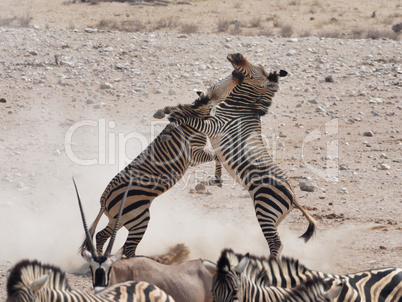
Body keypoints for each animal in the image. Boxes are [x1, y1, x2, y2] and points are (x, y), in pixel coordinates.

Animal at [160, 52, 318, 258]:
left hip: (265, 208)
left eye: (255, 71)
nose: (236, 54)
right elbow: (197, 109)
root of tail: (293, 196)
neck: (239, 108)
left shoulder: (215, 126)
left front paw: (172, 118)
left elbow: (192, 118)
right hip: (275, 217)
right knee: (278, 243)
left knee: (276, 243)